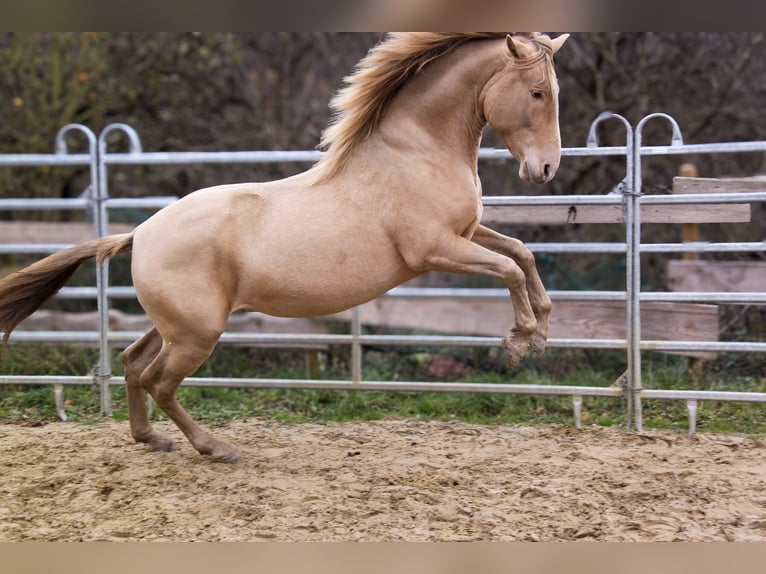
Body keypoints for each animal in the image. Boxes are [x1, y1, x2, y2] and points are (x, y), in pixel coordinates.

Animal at [0, 32, 568, 464]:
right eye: (538, 92)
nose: (543, 169)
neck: (415, 152)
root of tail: (139, 234)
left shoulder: (466, 233)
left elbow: (521, 252)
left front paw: (541, 330)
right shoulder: (434, 249)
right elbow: (508, 268)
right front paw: (518, 343)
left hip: (177, 324)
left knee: (133, 362)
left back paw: (151, 439)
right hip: (197, 333)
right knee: (160, 381)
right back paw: (214, 447)